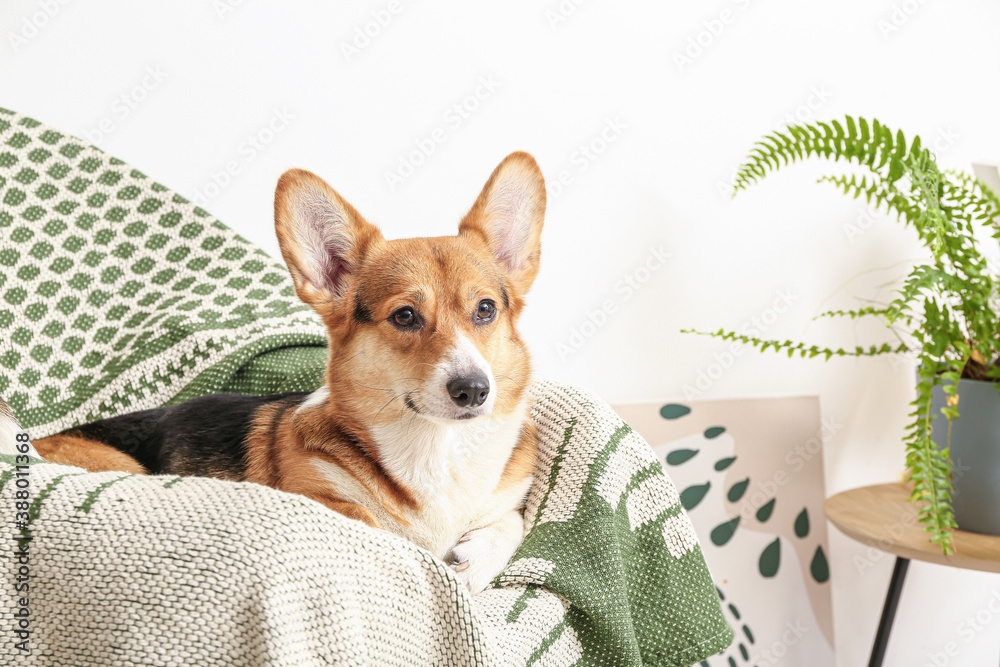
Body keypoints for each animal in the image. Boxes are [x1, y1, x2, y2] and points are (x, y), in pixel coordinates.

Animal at [35, 153, 548, 596]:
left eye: (485, 309)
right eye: (405, 316)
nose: (474, 390)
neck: (437, 449)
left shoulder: (507, 496)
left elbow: (513, 522)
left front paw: (474, 559)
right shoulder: (318, 497)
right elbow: (377, 528)